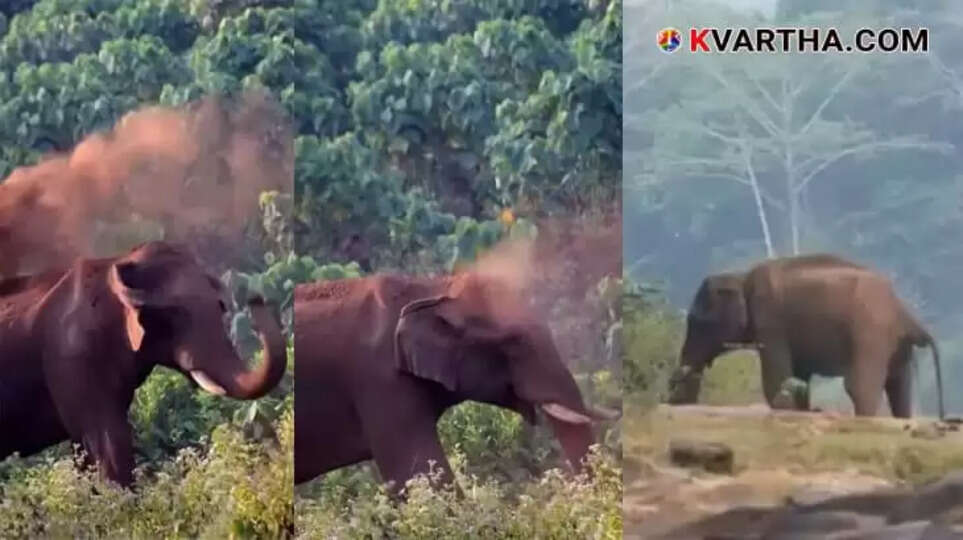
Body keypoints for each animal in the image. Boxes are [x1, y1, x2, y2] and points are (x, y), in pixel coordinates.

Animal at [0, 241, 286, 486]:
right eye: (175, 314)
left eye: (220, 306)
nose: (256, 297)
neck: (115, 263)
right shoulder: (73, 358)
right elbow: (106, 446)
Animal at [667, 254, 944, 419]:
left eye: (697, 322)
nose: (678, 397)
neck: (741, 276)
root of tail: (904, 311)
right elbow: (798, 376)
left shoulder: (771, 320)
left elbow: (777, 378)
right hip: (894, 343)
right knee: (899, 387)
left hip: (870, 333)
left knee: (860, 386)